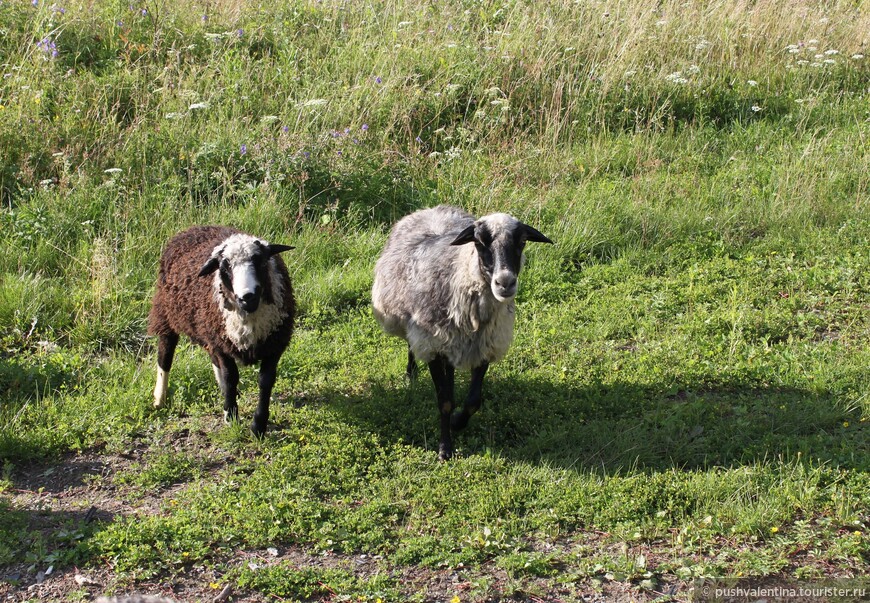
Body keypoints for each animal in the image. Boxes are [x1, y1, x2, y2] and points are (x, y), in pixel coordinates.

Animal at [149, 224, 296, 436]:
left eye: (259, 260)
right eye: (225, 266)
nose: (247, 297)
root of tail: (194, 228)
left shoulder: (274, 344)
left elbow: (265, 381)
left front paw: (258, 426)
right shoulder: (222, 344)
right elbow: (230, 377)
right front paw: (232, 416)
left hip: (209, 330)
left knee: (213, 360)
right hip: (168, 314)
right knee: (165, 355)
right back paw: (159, 399)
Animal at [372, 205, 552, 460]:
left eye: (522, 241)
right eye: (479, 242)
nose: (505, 283)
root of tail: (430, 209)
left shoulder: (484, 345)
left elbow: (473, 401)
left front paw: (457, 423)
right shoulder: (431, 345)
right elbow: (445, 401)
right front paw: (445, 448)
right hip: (414, 325)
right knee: (411, 344)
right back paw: (411, 373)